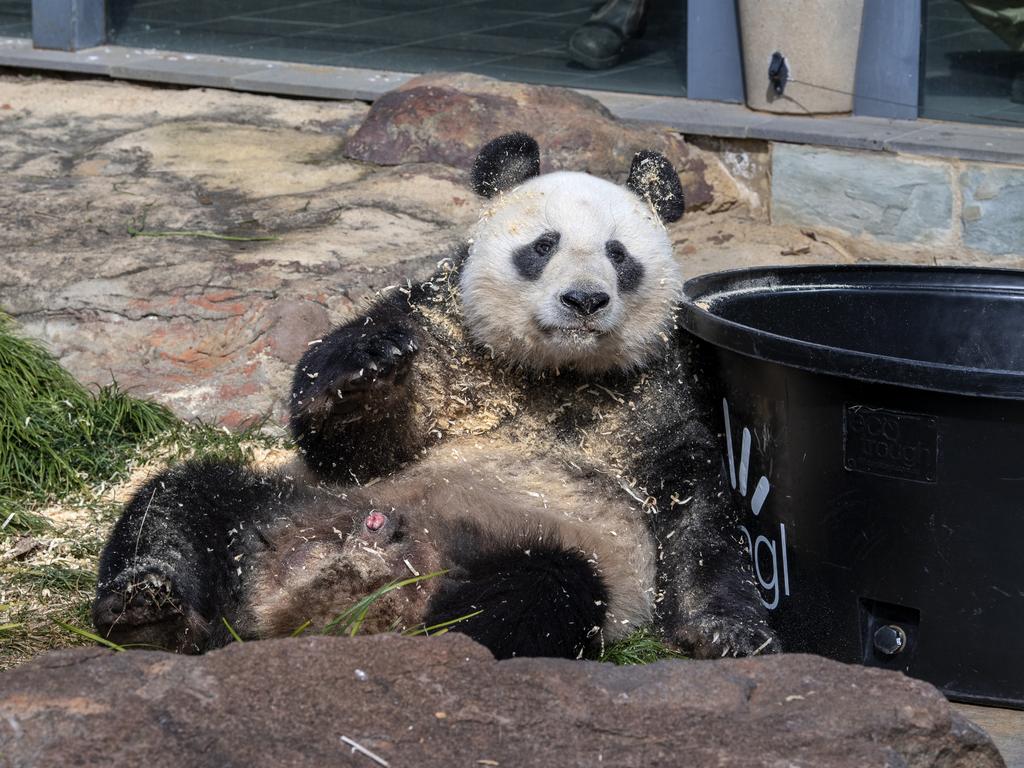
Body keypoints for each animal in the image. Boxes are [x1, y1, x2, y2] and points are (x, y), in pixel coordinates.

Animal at [94, 134, 774, 663]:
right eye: (543, 245)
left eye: (618, 254)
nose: (584, 301)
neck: (553, 374)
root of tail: (324, 592)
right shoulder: (444, 330)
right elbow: (350, 445)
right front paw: (367, 374)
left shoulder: (658, 394)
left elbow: (699, 514)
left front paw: (729, 632)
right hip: (287, 502)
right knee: (180, 504)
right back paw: (150, 611)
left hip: (533, 553)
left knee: (544, 590)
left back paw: (434, 634)